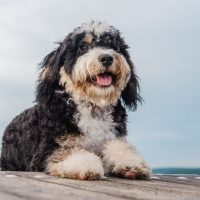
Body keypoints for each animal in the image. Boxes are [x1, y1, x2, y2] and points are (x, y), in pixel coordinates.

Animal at [0, 21, 151, 180]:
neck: (92, 105)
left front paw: (130, 162)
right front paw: (87, 164)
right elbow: (67, 153)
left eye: (113, 46)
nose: (107, 58)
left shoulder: (114, 137)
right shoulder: (46, 150)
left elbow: (121, 148)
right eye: (83, 46)